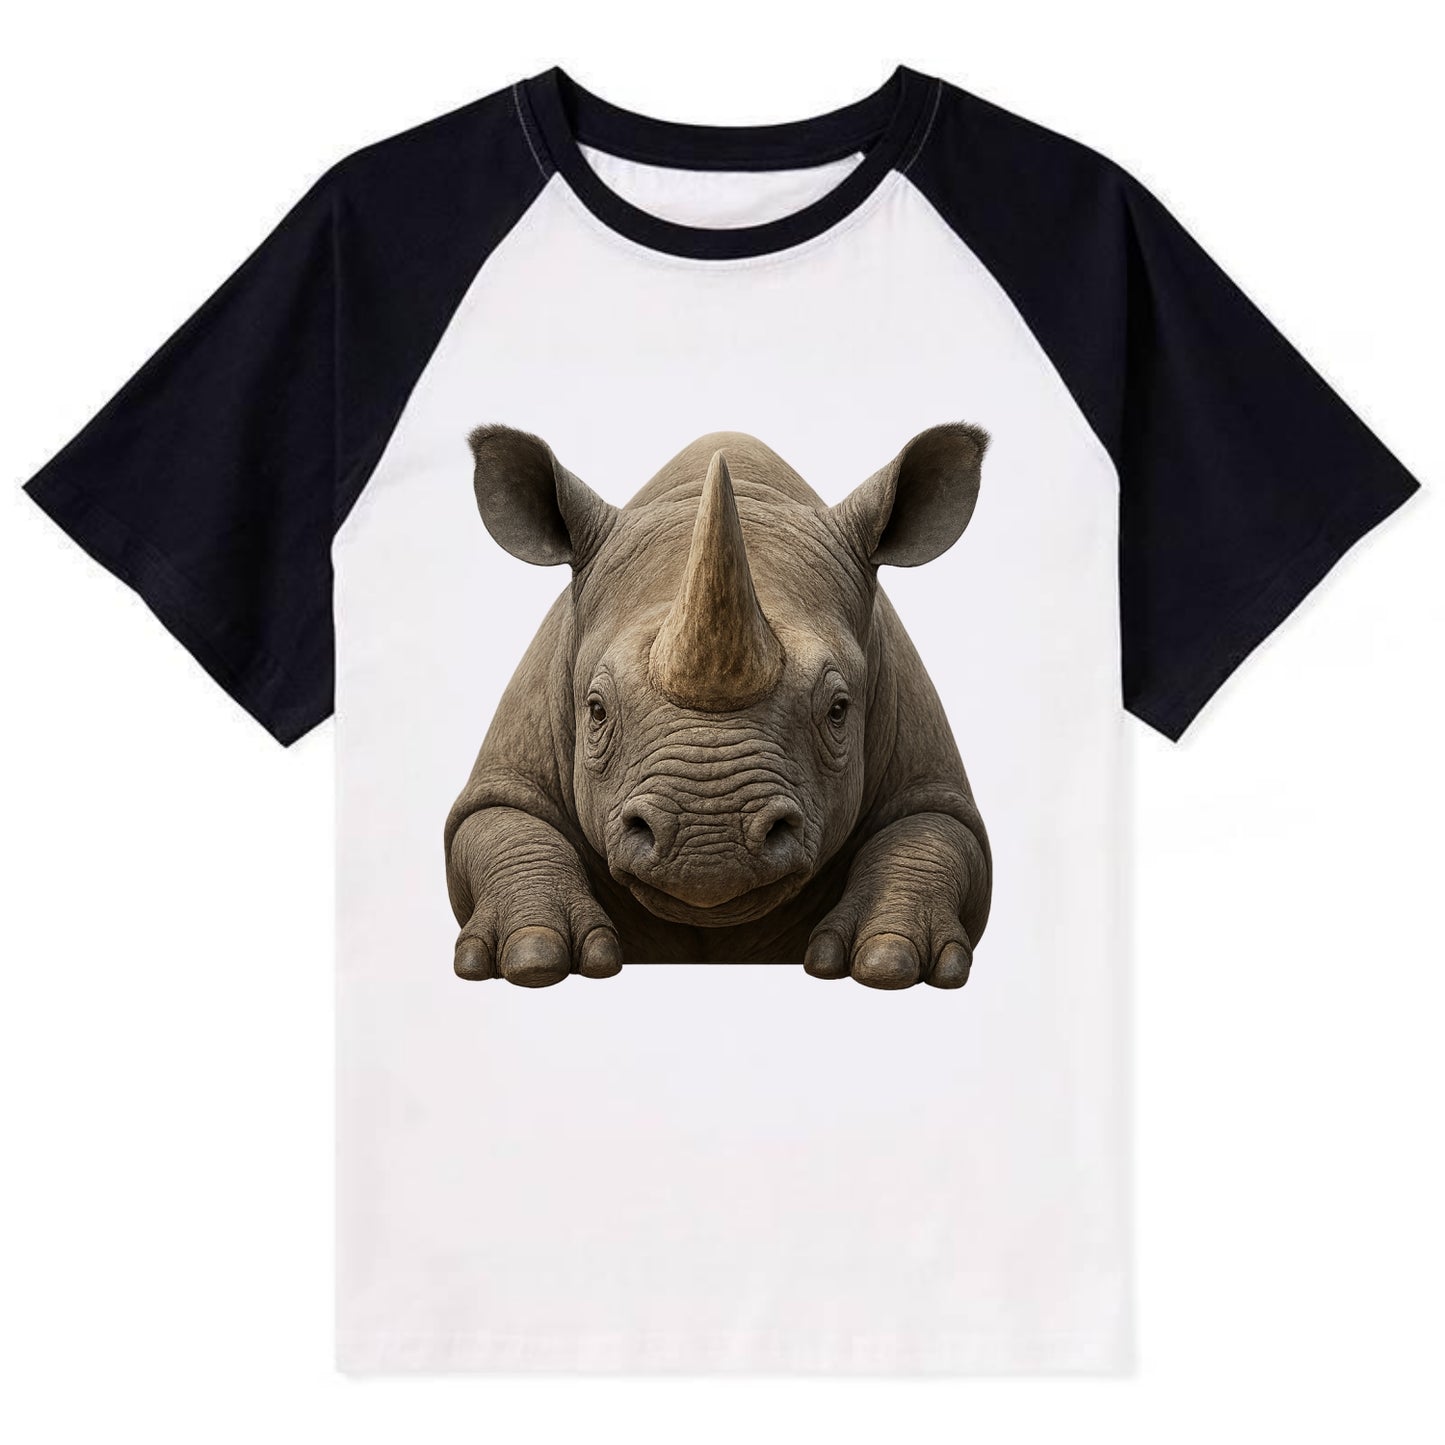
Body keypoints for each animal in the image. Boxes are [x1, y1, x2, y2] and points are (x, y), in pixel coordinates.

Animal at [444, 424, 992, 990]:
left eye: (838, 710)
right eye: (596, 710)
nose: (709, 844)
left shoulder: (926, 770)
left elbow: (931, 832)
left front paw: (889, 961)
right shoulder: (509, 769)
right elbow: (502, 822)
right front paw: (533, 957)